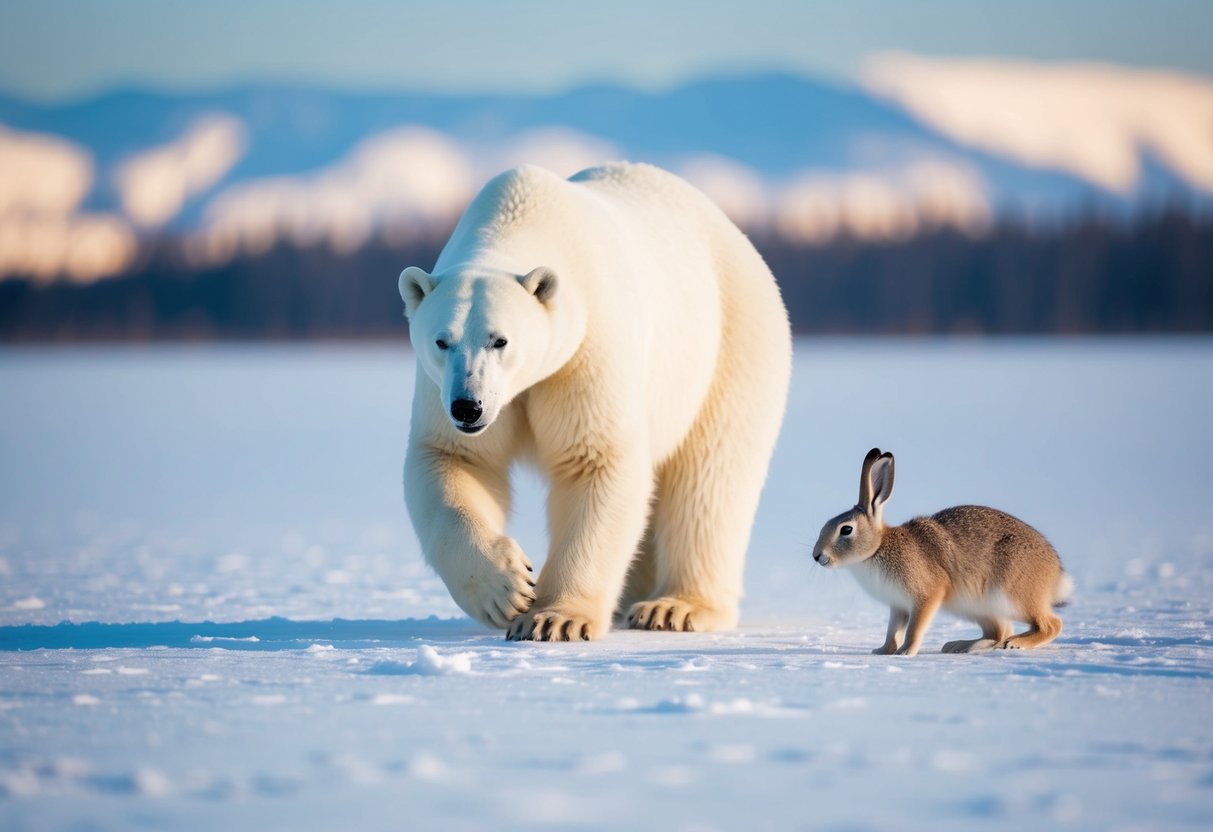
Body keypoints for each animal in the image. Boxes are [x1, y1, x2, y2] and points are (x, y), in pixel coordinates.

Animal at [398, 162, 791, 641]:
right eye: (442, 341)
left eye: (500, 340)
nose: (467, 407)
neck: (522, 218)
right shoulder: (444, 388)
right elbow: (454, 461)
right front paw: (506, 589)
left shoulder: (588, 350)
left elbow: (596, 460)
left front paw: (555, 618)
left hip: (730, 347)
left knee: (709, 480)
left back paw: (675, 608)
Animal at [811, 448, 1073, 656]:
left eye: (846, 529)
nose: (817, 556)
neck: (877, 548)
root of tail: (1056, 574)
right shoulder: (897, 606)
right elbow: (892, 631)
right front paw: (883, 651)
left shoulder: (926, 595)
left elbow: (914, 628)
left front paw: (905, 652)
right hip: (978, 607)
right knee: (998, 631)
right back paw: (961, 645)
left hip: (1011, 596)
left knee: (1051, 624)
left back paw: (1015, 644)